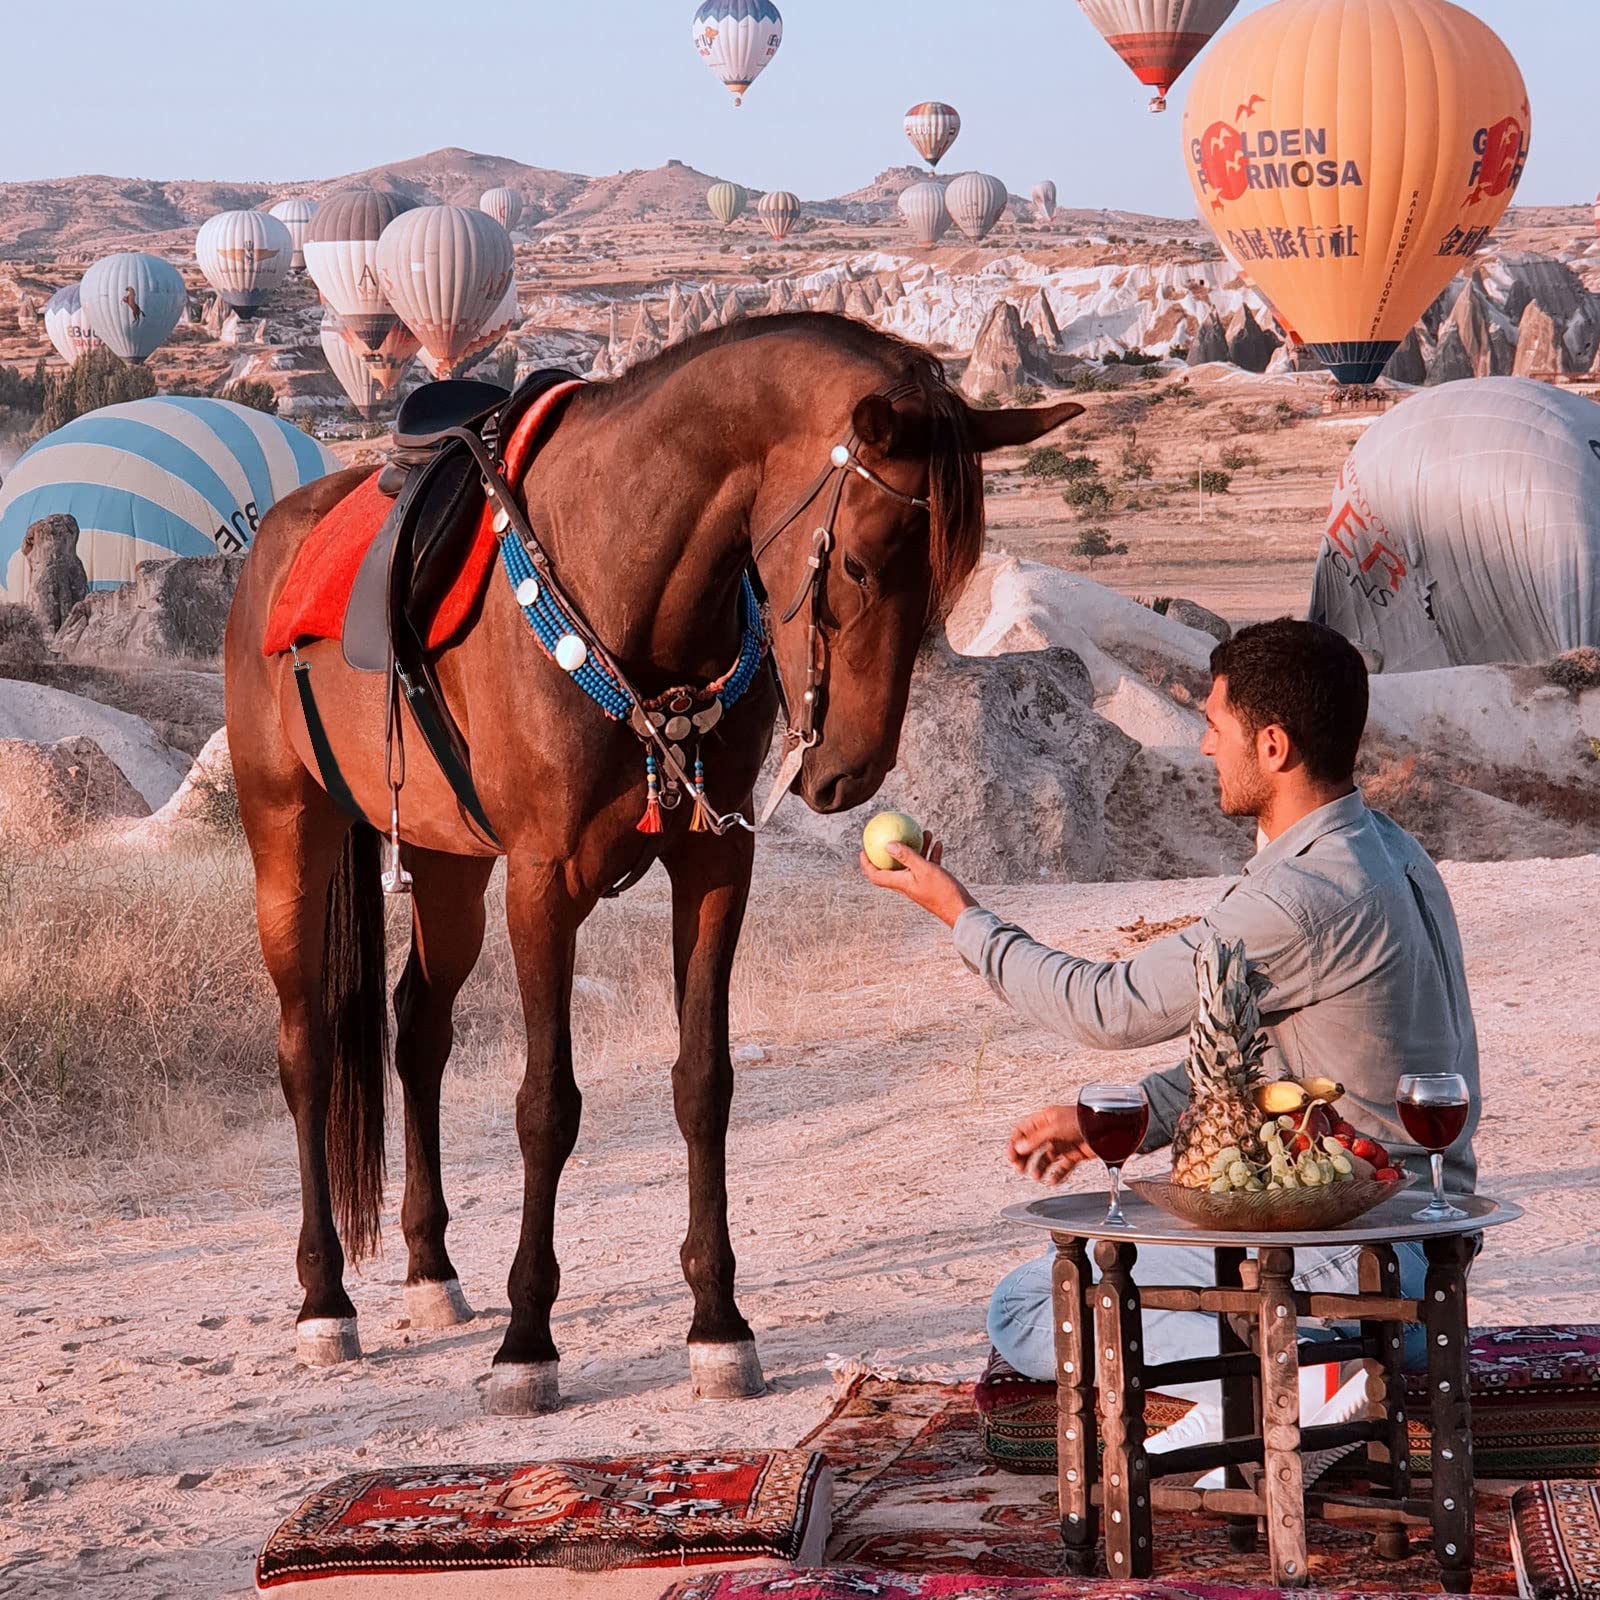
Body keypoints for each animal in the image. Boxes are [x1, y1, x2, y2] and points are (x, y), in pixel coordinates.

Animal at [224, 312, 1082, 1414]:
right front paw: (528, 1342)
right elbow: (546, 1106)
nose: (850, 770)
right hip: (290, 832)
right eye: (857, 564)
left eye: (947, 578)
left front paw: (718, 1322)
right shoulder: (543, 884)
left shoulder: (715, 864)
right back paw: (325, 1299)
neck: (624, 568)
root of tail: (275, 547)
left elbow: (702, 1084)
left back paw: (428, 1270)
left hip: (450, 862)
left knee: (418, 1028)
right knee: (309, 1052)